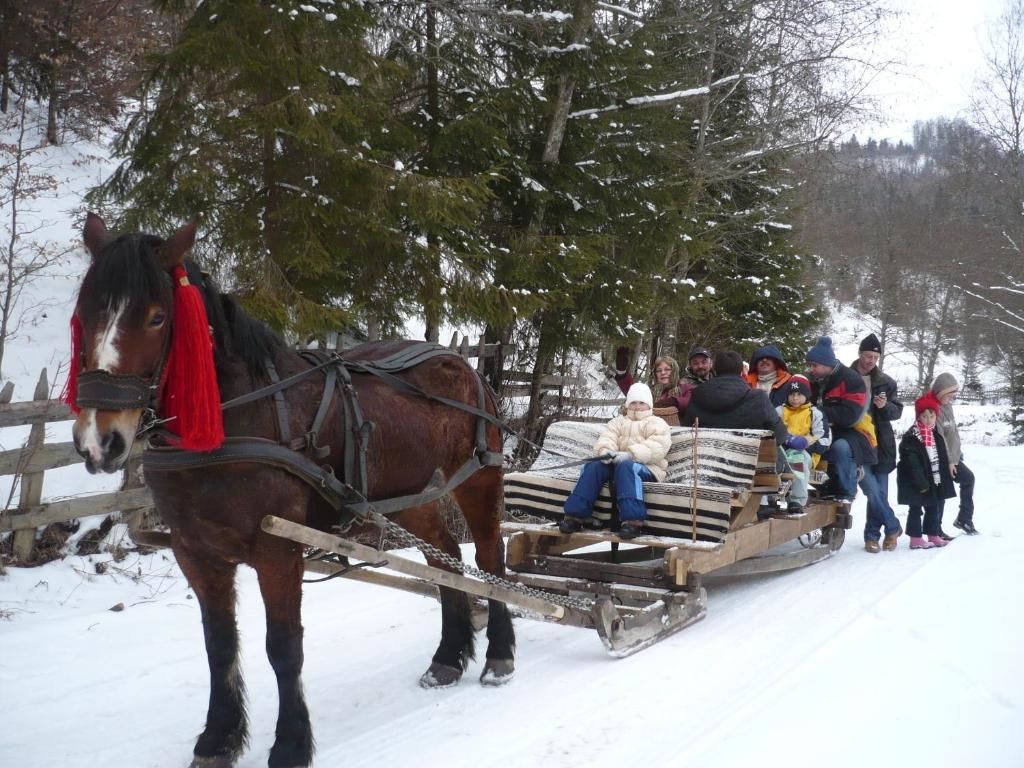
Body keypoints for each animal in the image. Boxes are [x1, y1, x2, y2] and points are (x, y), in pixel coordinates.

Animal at [66, 215, 512, 768]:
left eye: (155, 317)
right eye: (84, 314)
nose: (98, 441)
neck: (229, 423)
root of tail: (464, 361)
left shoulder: (278, 548)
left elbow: (283, 646)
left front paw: (291, 744)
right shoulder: (196, 552)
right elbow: (219, 645)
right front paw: (218, 739)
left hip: (478, 478)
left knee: (491, 559)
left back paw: (499, 655)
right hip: (411, 495)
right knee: (445, 559)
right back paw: (448, 658)